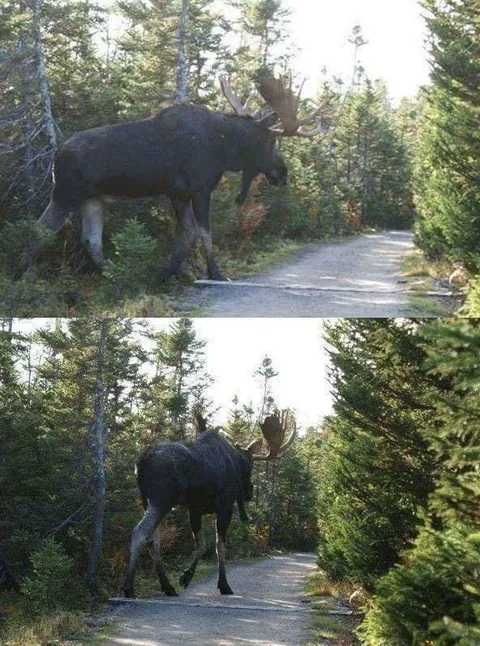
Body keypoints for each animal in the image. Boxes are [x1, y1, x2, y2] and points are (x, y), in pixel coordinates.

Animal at [17, 75, 326, 282]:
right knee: (40, 229)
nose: (282, 172)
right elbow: (203, 232)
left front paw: (168, 273)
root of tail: (56, 156)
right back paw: (22, 275)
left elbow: (186, 234)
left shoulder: (178, 193)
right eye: (271, 142)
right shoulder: (200, 188)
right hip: (66, 193)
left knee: (90, 239)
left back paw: (117, 277)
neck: (225, 148)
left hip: (93, 199)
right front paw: (215, 273)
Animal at [123, 410, 296, 598]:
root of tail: (140, 463)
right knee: (140, 533)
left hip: (147, 501)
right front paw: (224, 585)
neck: (235, 460)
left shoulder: (195, 509)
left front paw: (186, 576)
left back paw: (168, 587)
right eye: (250, 465)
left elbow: (202, 544)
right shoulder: (225, 507)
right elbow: (219, 547)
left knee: (153, 539)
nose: (249, 493)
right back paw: (129, 588)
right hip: (162, 500)